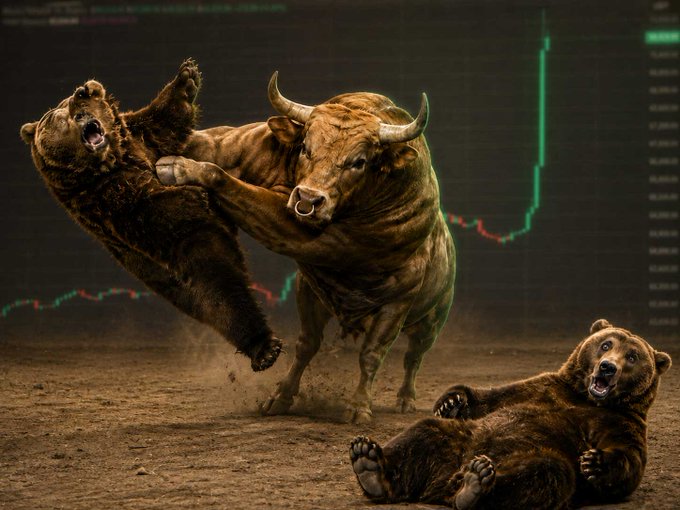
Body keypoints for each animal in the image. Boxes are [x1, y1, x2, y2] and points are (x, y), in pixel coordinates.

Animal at [20, 59, 281, 372]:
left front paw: (187, 75)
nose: (83, 91)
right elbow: (172, 214)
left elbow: (164, 121)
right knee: (223, 292)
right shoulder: (112, 199)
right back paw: (264, 348)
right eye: (58, 116)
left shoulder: (140, 137)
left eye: (78, 102)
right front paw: (193, 194)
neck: (108, 160)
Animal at [157, 73, 456, 423]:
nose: (308, 200)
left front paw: (359, 408)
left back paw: (406, 399)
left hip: (430, 321)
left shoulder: (386, 296)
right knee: (309, 344)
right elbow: (306, 345)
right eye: (305, 147)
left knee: (413, 356)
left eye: (359, 161)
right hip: (314, 295)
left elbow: (371, 356)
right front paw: (280, 397)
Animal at [349, 319, 671, 509]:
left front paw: (596, 461)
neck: (585, 397)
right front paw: (451, 401)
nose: (607, 367)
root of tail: (441, 483)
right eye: (606, 344)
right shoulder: (539, 388)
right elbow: (490, 398)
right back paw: (369, 461)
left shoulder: (619, 421)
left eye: (632, 356)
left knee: (544, 474)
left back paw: (474, 484)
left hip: (535, 455)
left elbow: (628, 458)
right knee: (424, 433)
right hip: (459, 439)